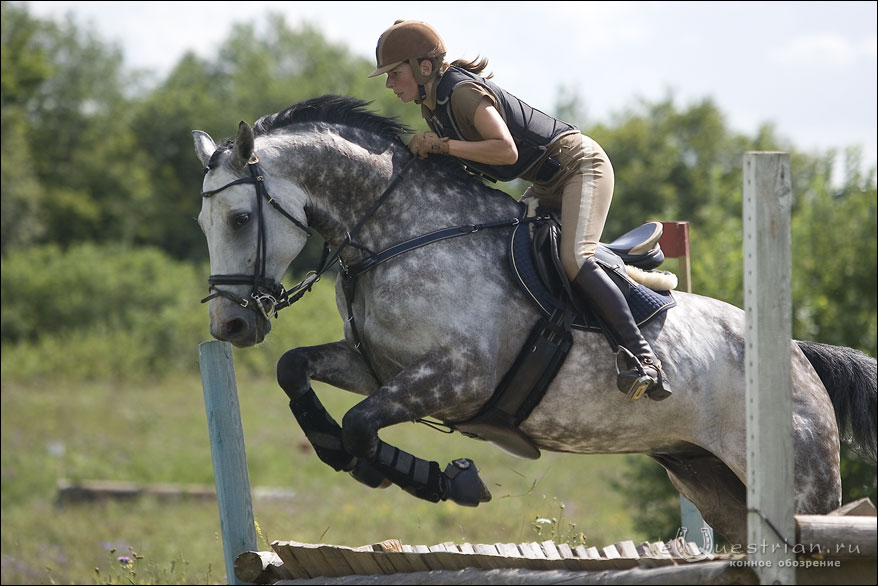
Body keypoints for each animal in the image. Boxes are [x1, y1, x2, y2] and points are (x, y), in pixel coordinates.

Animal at [196, 96, 876, 544]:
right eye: (205, 222)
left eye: (240, 219)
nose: (230, 328)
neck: (398, 234)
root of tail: (800, 356)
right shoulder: (379, 367)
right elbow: (295, 370)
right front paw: (342, 452)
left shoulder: (457, 378)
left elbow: (363, 423)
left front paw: (444, 480)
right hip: (707, 477)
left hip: (801, 482)